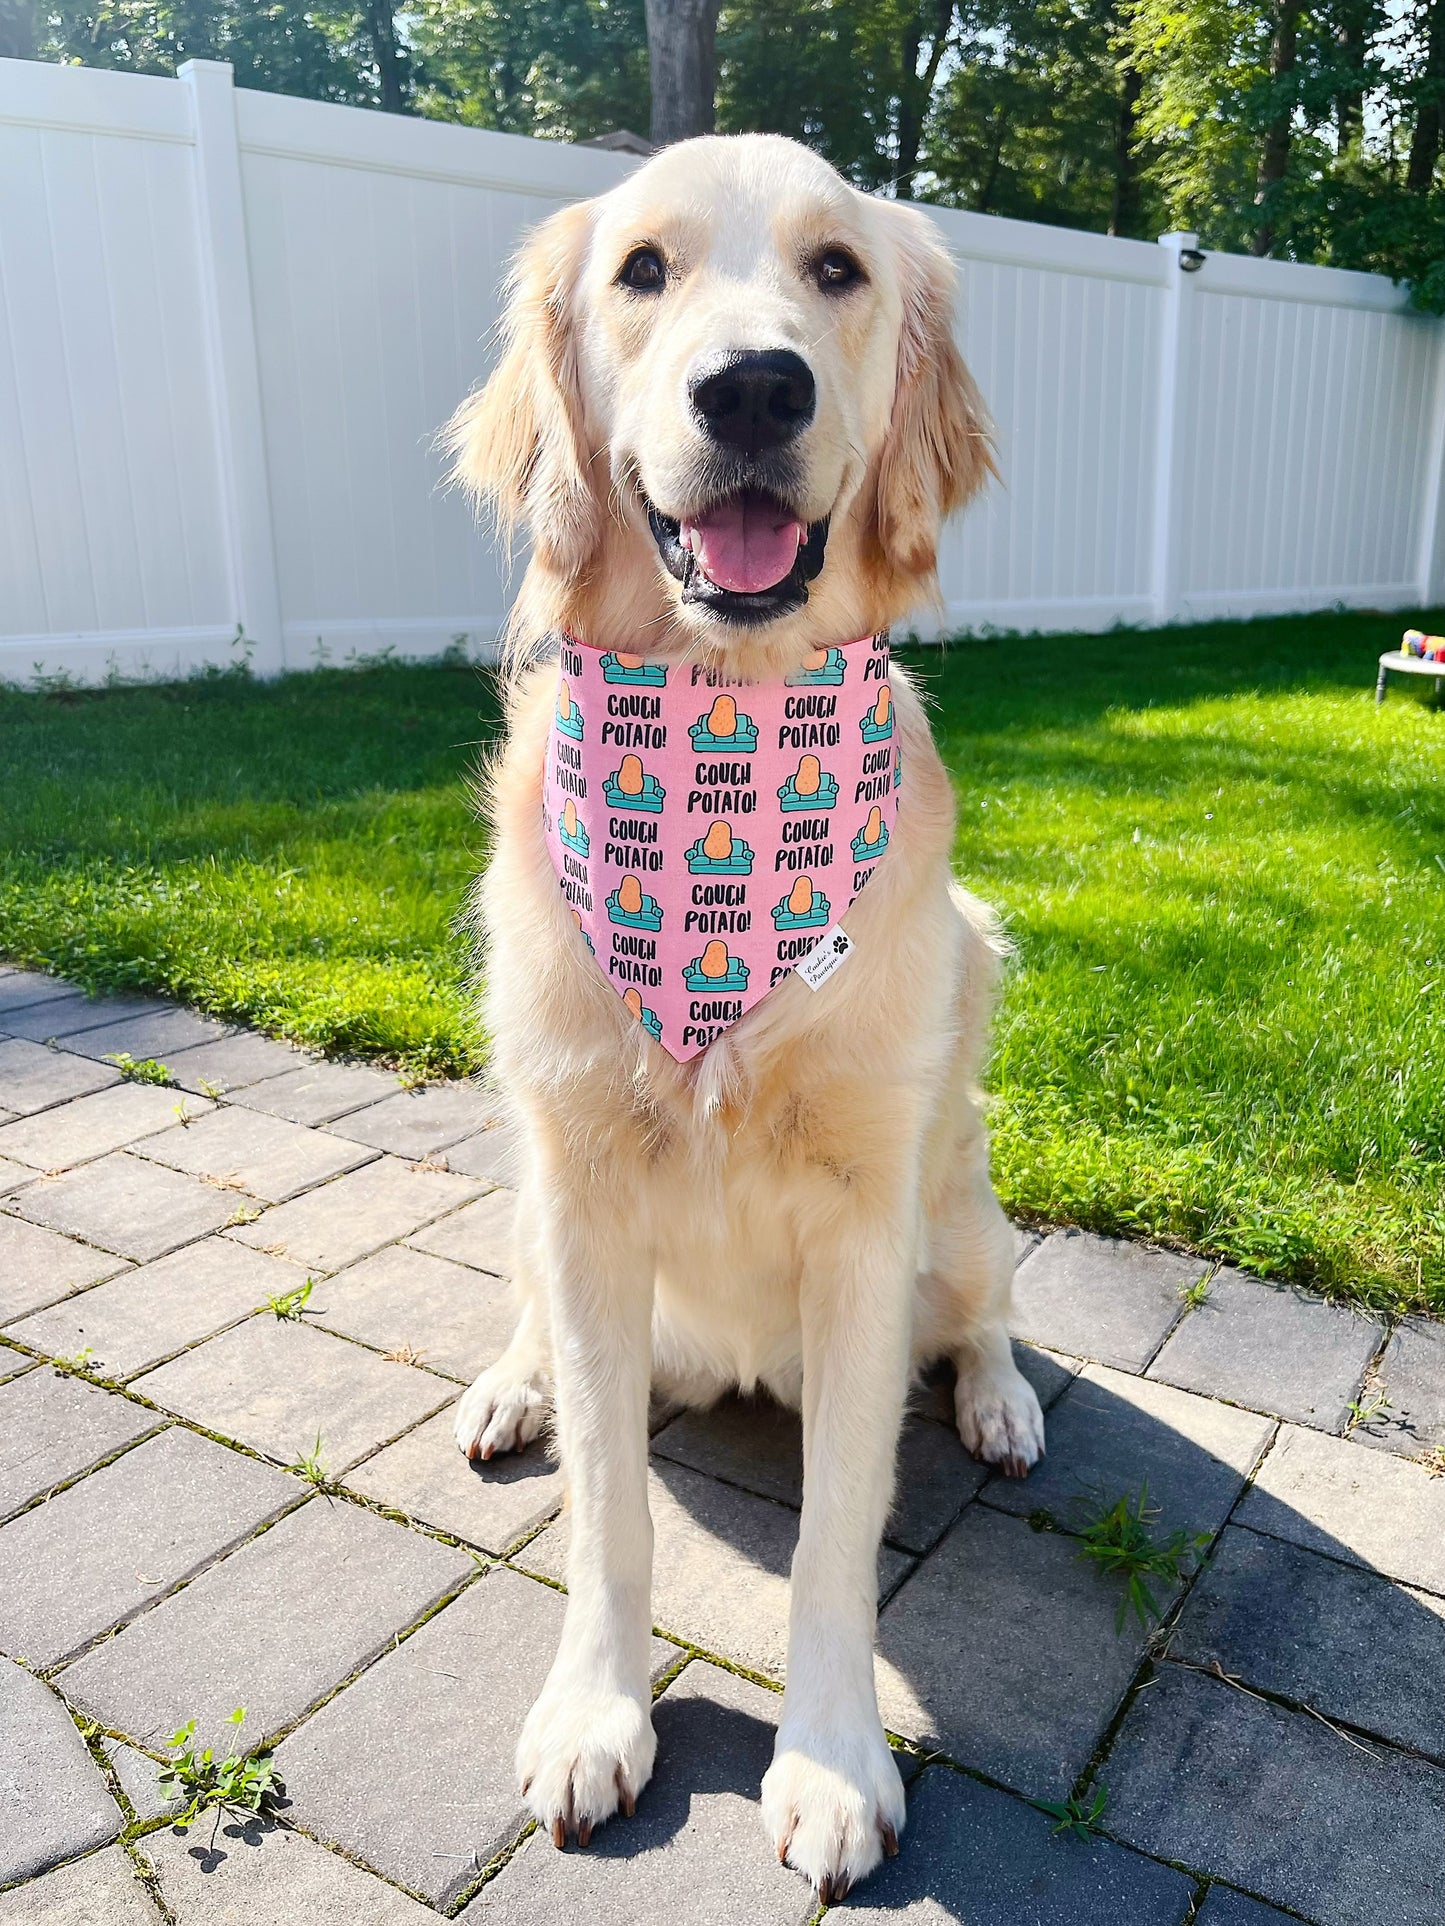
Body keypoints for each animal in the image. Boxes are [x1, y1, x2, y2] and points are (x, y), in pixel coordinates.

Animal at [446, 131, 1048, 1895]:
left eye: (836, 269)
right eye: (641, 270)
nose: (756, 389)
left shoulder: (862, 1226)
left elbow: (839, 1525)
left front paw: (834, 1761)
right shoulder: (580, 1194)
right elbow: (608, 1509)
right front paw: (593, 1710)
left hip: (957, 1203)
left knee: (986, 1305)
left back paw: (999, 1399)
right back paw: (511, 1382)